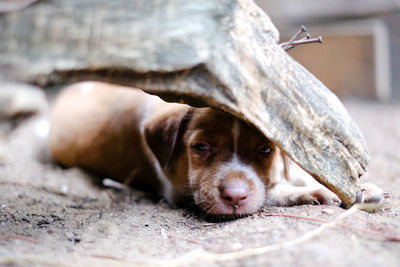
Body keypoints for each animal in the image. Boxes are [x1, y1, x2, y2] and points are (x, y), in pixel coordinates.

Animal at [50, 82, 378, 218]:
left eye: (264, 150)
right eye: (201, 147)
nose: (234, 197)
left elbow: (290, 172)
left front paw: (360, 188)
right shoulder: (176, 189)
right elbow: (272, 189)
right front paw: (315, 192)